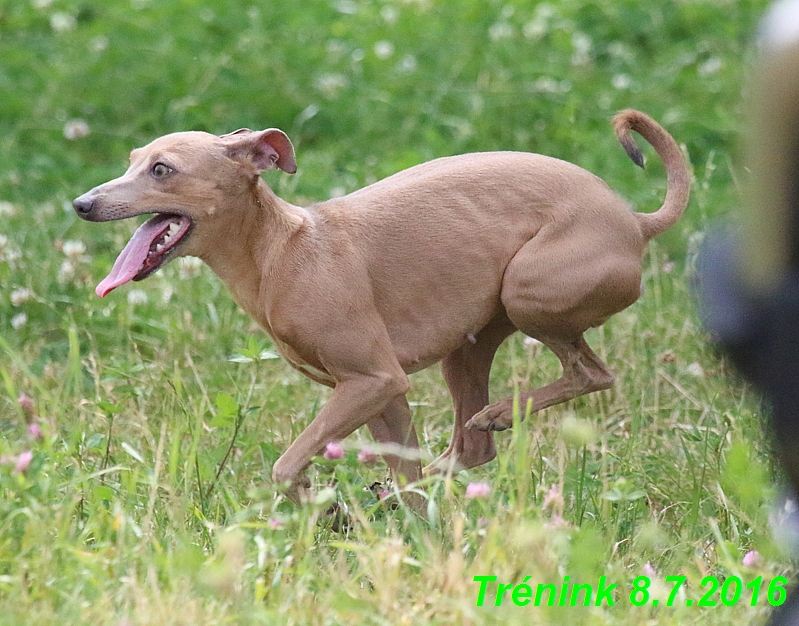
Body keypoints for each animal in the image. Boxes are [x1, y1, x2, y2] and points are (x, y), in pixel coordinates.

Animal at [72, 111, 692, 502]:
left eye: (162, 169)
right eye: (132, 160)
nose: (80, 204)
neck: (283, 252)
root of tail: (634, 220)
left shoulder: (372, 380)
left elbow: (285, 464)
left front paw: (314, 501)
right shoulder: (383, 396)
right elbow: (404, 477)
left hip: (527, 294)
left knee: (592, 373)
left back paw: (499, 413)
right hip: (468, 346)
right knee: (469, 451)